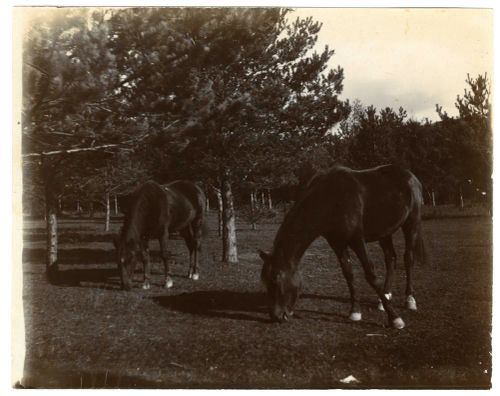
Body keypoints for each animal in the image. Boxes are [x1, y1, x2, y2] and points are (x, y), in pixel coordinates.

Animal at [260, 164, 428, 328]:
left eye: (276, 278)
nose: (276, 316)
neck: (330, 199)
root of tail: (410, 176)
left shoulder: (357, 240)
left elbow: (370, 274)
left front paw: (394, 318)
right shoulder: (337, 243)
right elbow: (348, 273)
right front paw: (355, 311)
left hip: (411, 223)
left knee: (408, 258)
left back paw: (409, 299)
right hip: (385, 231)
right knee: (391, 258)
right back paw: (384, 298)